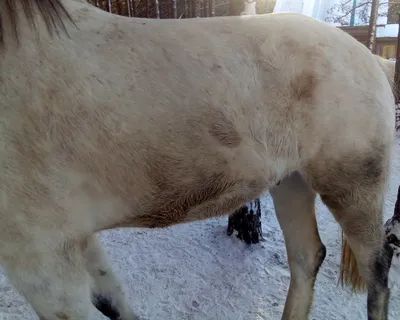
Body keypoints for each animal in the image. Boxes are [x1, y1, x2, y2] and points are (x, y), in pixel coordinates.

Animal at [0, 0, 396, 320]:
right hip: (292, 183)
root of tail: (371, 57)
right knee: (306, 258)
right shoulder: (71, 241)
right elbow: (113, 301)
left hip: (353, 188)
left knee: (377, 270)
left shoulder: (41, 259)